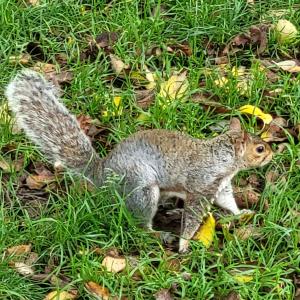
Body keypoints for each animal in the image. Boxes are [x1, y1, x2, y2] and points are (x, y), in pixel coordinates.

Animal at [4, 69, 274, 252]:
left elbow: (227, 201)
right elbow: (193, 215)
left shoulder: (220, 185)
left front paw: (240, 212)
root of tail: (102, 173)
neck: (222, 158)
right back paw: (157, 234)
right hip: (141, 188)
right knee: (139, 224)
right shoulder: (202, 185)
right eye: (259, 148)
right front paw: (184, 244)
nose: (272, 154)